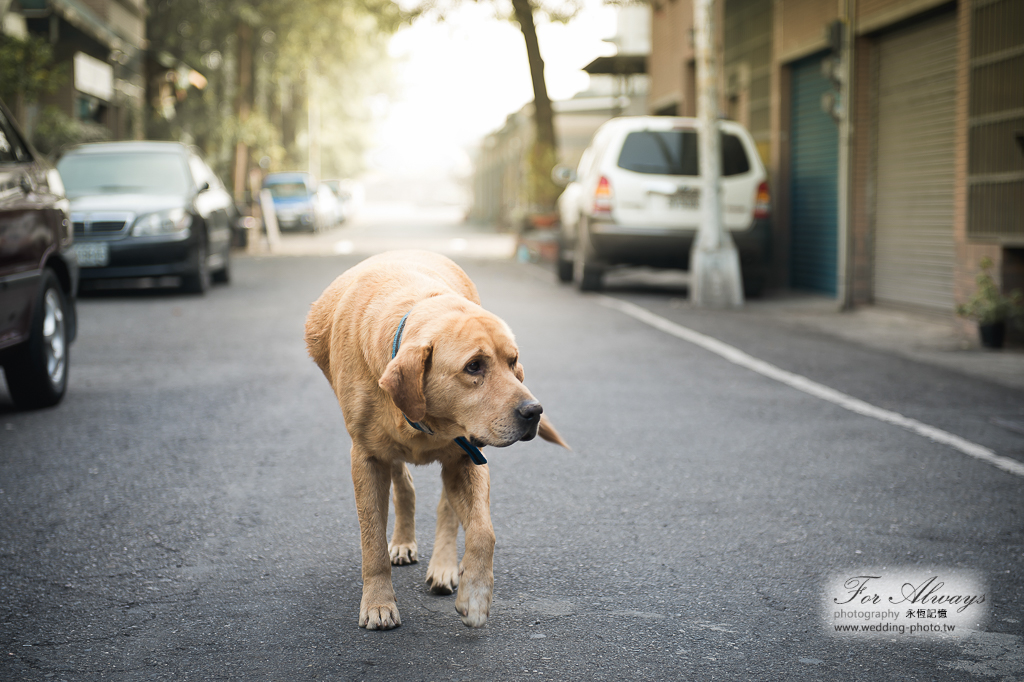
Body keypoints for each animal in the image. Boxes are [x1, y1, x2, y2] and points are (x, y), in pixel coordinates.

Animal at [305, 248, 569, 626]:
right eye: (474, 366)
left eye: (513, 361)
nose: (534, 411)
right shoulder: (366, 458)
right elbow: (372, 542)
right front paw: (378, 602)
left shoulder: (468, 457)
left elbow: (483, 531)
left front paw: (475, 594)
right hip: (386, 451)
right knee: (404, 483)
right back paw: (403, 541)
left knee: (447, 506)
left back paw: (444, 567)